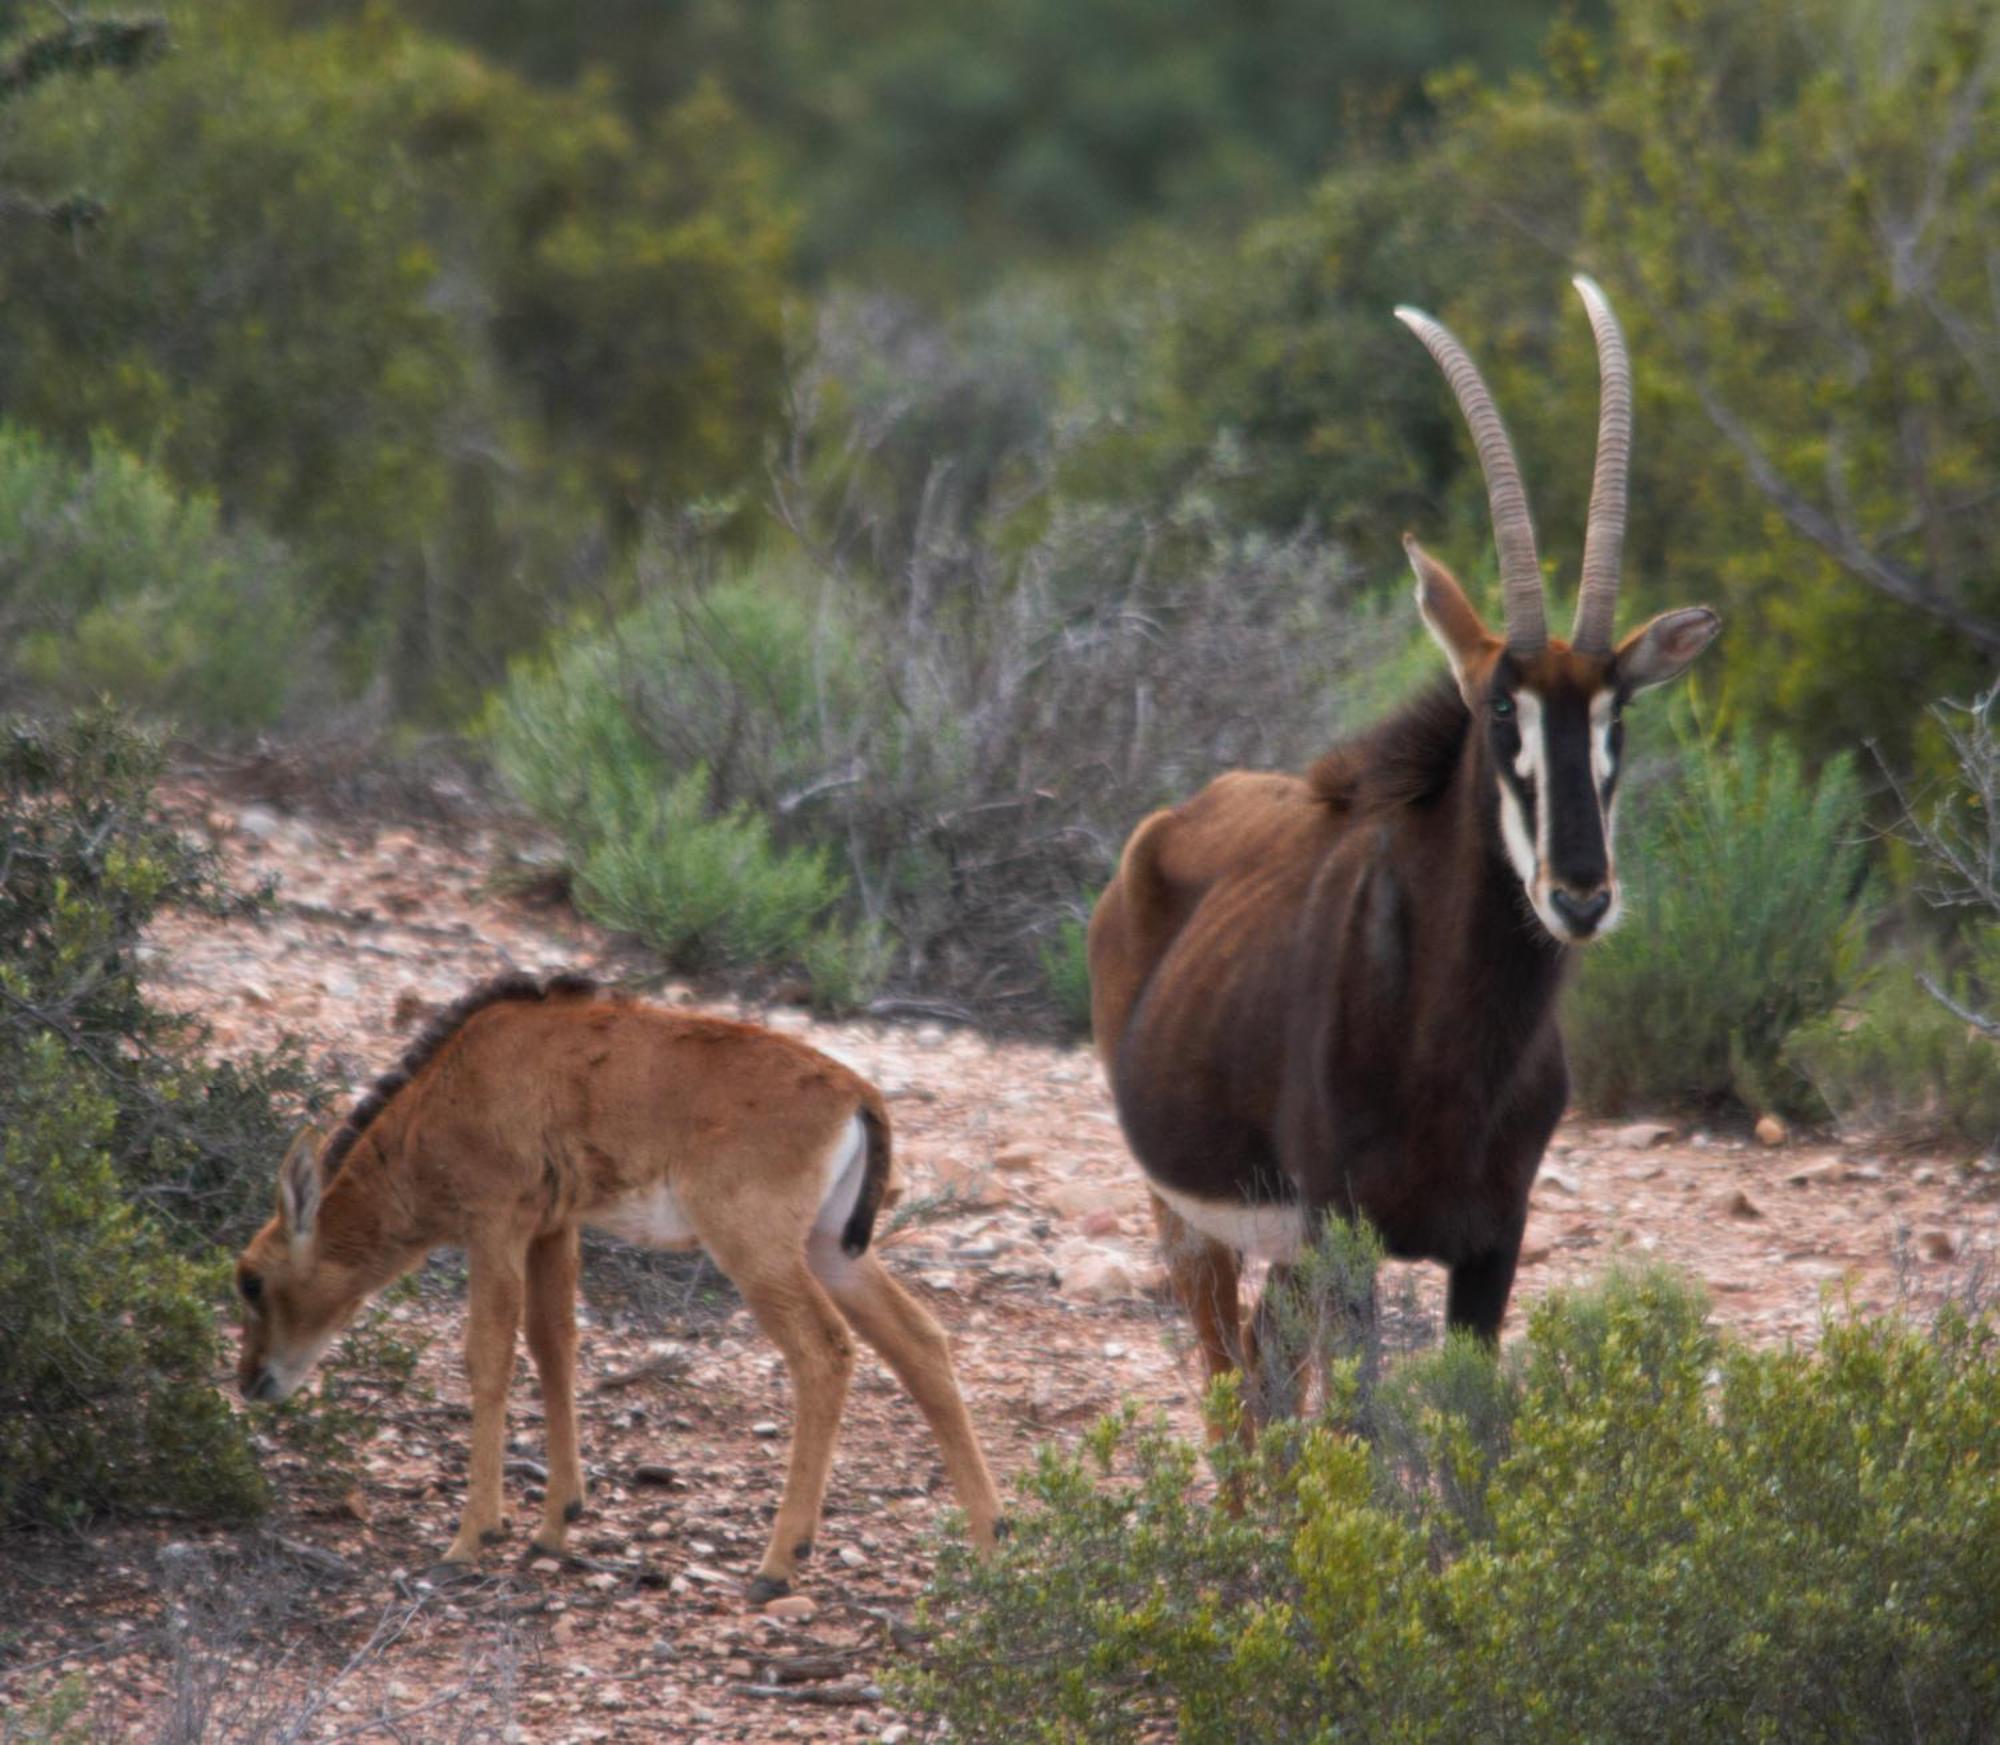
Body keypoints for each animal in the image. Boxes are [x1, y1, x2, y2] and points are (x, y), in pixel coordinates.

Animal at [238, 976, 1000, 1600]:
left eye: (250, 1279)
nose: (252, 1382)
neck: (458, 1077)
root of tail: (856, 1096)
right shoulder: (553, 1227)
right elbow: (553, 1346)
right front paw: (554, 1525)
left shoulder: (496, 1222)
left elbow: (489, 1356)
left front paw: (470, 1537)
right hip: (832, 1251)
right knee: (920, 1342)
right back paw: (990, 1538)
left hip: (755, 1249)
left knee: (823, 1351)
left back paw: (779, 1563)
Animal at [1088, 286, 1728, 1400]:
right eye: (1500, 710)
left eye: (1619, 715)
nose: (1579, 894)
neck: (1453, 1043)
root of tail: (1164, 831)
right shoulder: (1347, 1237)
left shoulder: (1491, 1242)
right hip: (1189, 1218)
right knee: (1229, 1390)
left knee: (1262, 1379)